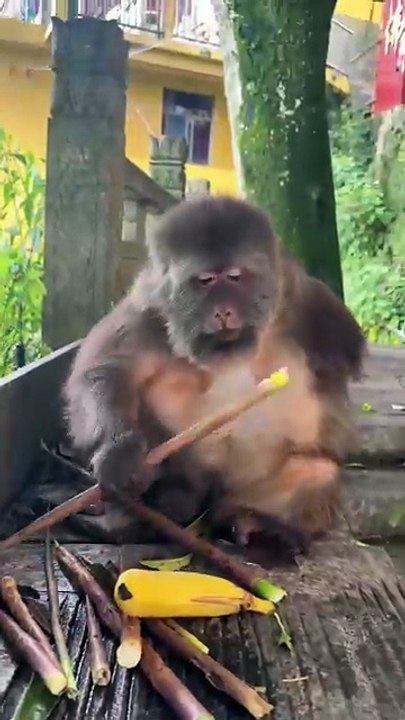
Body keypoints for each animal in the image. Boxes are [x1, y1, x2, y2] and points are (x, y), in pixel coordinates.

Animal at [62, 195, 366, 558]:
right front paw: (120, 450)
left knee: (315, 473)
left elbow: (346, 358)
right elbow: (104, 369)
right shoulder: (149, 308)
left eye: (234, 277)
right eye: (205, 280)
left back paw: (260, 524)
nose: (223, 311)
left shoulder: (302, 296)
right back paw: (151, 511)